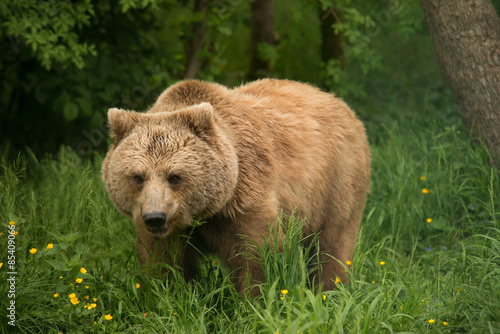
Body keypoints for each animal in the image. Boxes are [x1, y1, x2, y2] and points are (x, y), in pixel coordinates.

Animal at [101, 79, 370, 294]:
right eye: (138, 177)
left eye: (174, 176)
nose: (155, 217)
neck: (204, 212)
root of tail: (339, 103)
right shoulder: (168, 227)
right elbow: (164, 261)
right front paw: (170, 297)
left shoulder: (243, 199)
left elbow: (257, 254)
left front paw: (255, 302)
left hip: (338, 183)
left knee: (333, 246)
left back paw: (330, 292)